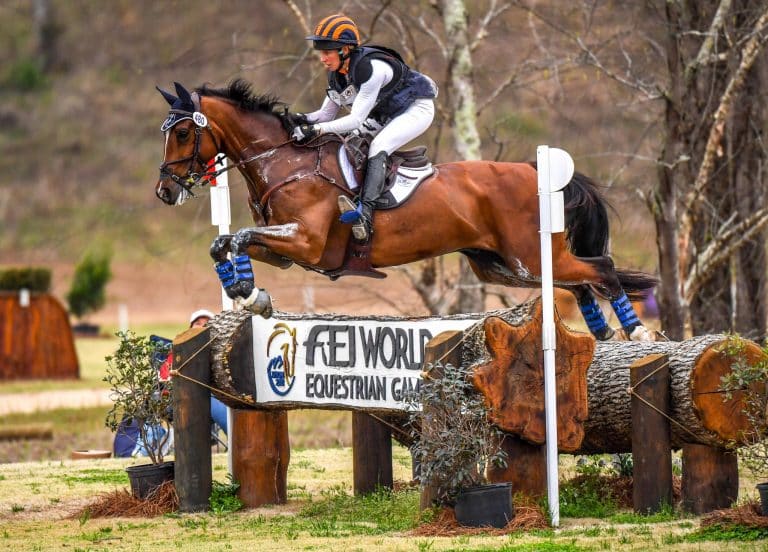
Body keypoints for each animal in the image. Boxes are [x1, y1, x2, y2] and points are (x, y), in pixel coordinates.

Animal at [156, 79, 660, 340]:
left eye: (182, 133)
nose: (164, 191)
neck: (285, 161)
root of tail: (533, 169)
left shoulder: (307, 241)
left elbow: (238, 237)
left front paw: (250, 294)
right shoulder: (284, 251)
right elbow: (224, 243)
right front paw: (250, 295)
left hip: (529, 258)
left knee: (602, 268)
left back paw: (635, 333)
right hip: (503, 266)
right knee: (580, 280)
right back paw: (603, 333)